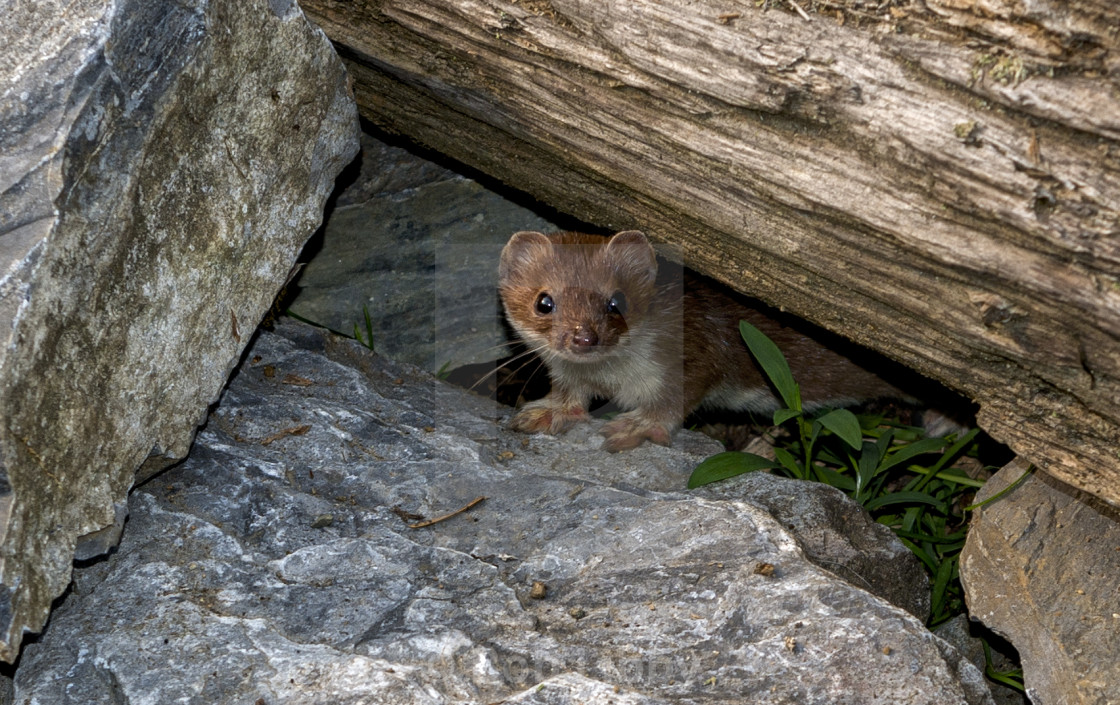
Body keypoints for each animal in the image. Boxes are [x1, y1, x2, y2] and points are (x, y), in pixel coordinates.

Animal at [499, 230, 918, 450]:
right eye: (544, 301)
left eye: (616, 301)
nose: (584, 338)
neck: (612, 376)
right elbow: (569, 394)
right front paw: (543, 412)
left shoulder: (696, 346)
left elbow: (679, 396)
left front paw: (635, 427)